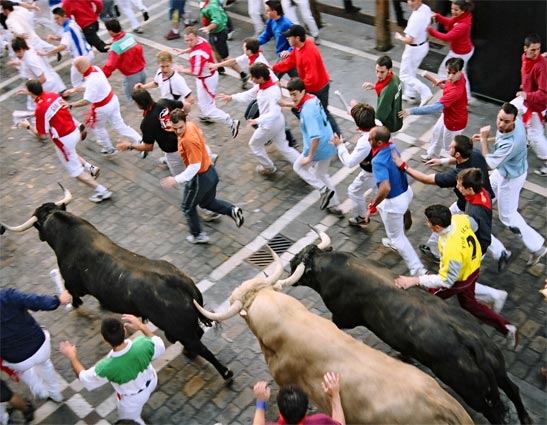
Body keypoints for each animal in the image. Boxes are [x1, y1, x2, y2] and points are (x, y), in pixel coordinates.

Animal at [0, 202, 232, 380]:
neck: (66, 231)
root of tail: (182, 282)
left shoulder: (72, 282)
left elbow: (73, 293)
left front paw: (75, 304)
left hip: (179, 328)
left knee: (201, 347)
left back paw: (225, 373)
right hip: (185, 327)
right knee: (198, 336)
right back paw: (189, 353)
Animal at [294, 245, 532, 424]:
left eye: (298, 260)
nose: (289, 262)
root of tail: (471, 340)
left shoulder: (342, 316)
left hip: (472, 392)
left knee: (494, 412)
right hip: (496, 367)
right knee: (512, 389)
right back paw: (525, 417)